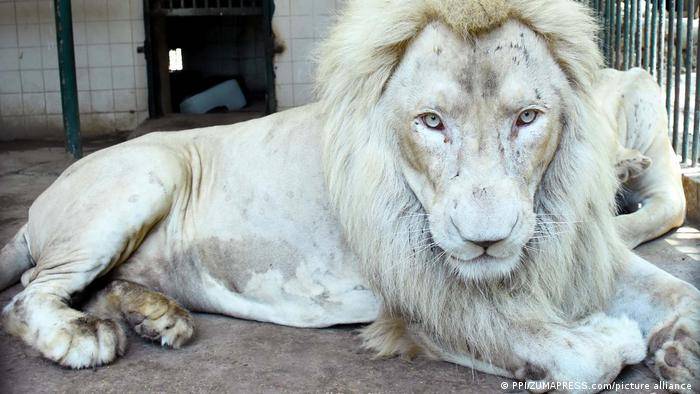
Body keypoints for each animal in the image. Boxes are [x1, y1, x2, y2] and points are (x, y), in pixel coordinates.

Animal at [0, 0, 696, 390]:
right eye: (431, 123)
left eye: (528, 117)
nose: (486, 239)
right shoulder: (426, 298)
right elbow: (581, 357)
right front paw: (618, 339)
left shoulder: (579, 248)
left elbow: (676, 291)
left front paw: (679, 348)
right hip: (149, 173)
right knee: (30, 293)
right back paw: (81, 338)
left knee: (90, 285)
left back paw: (155, 316)